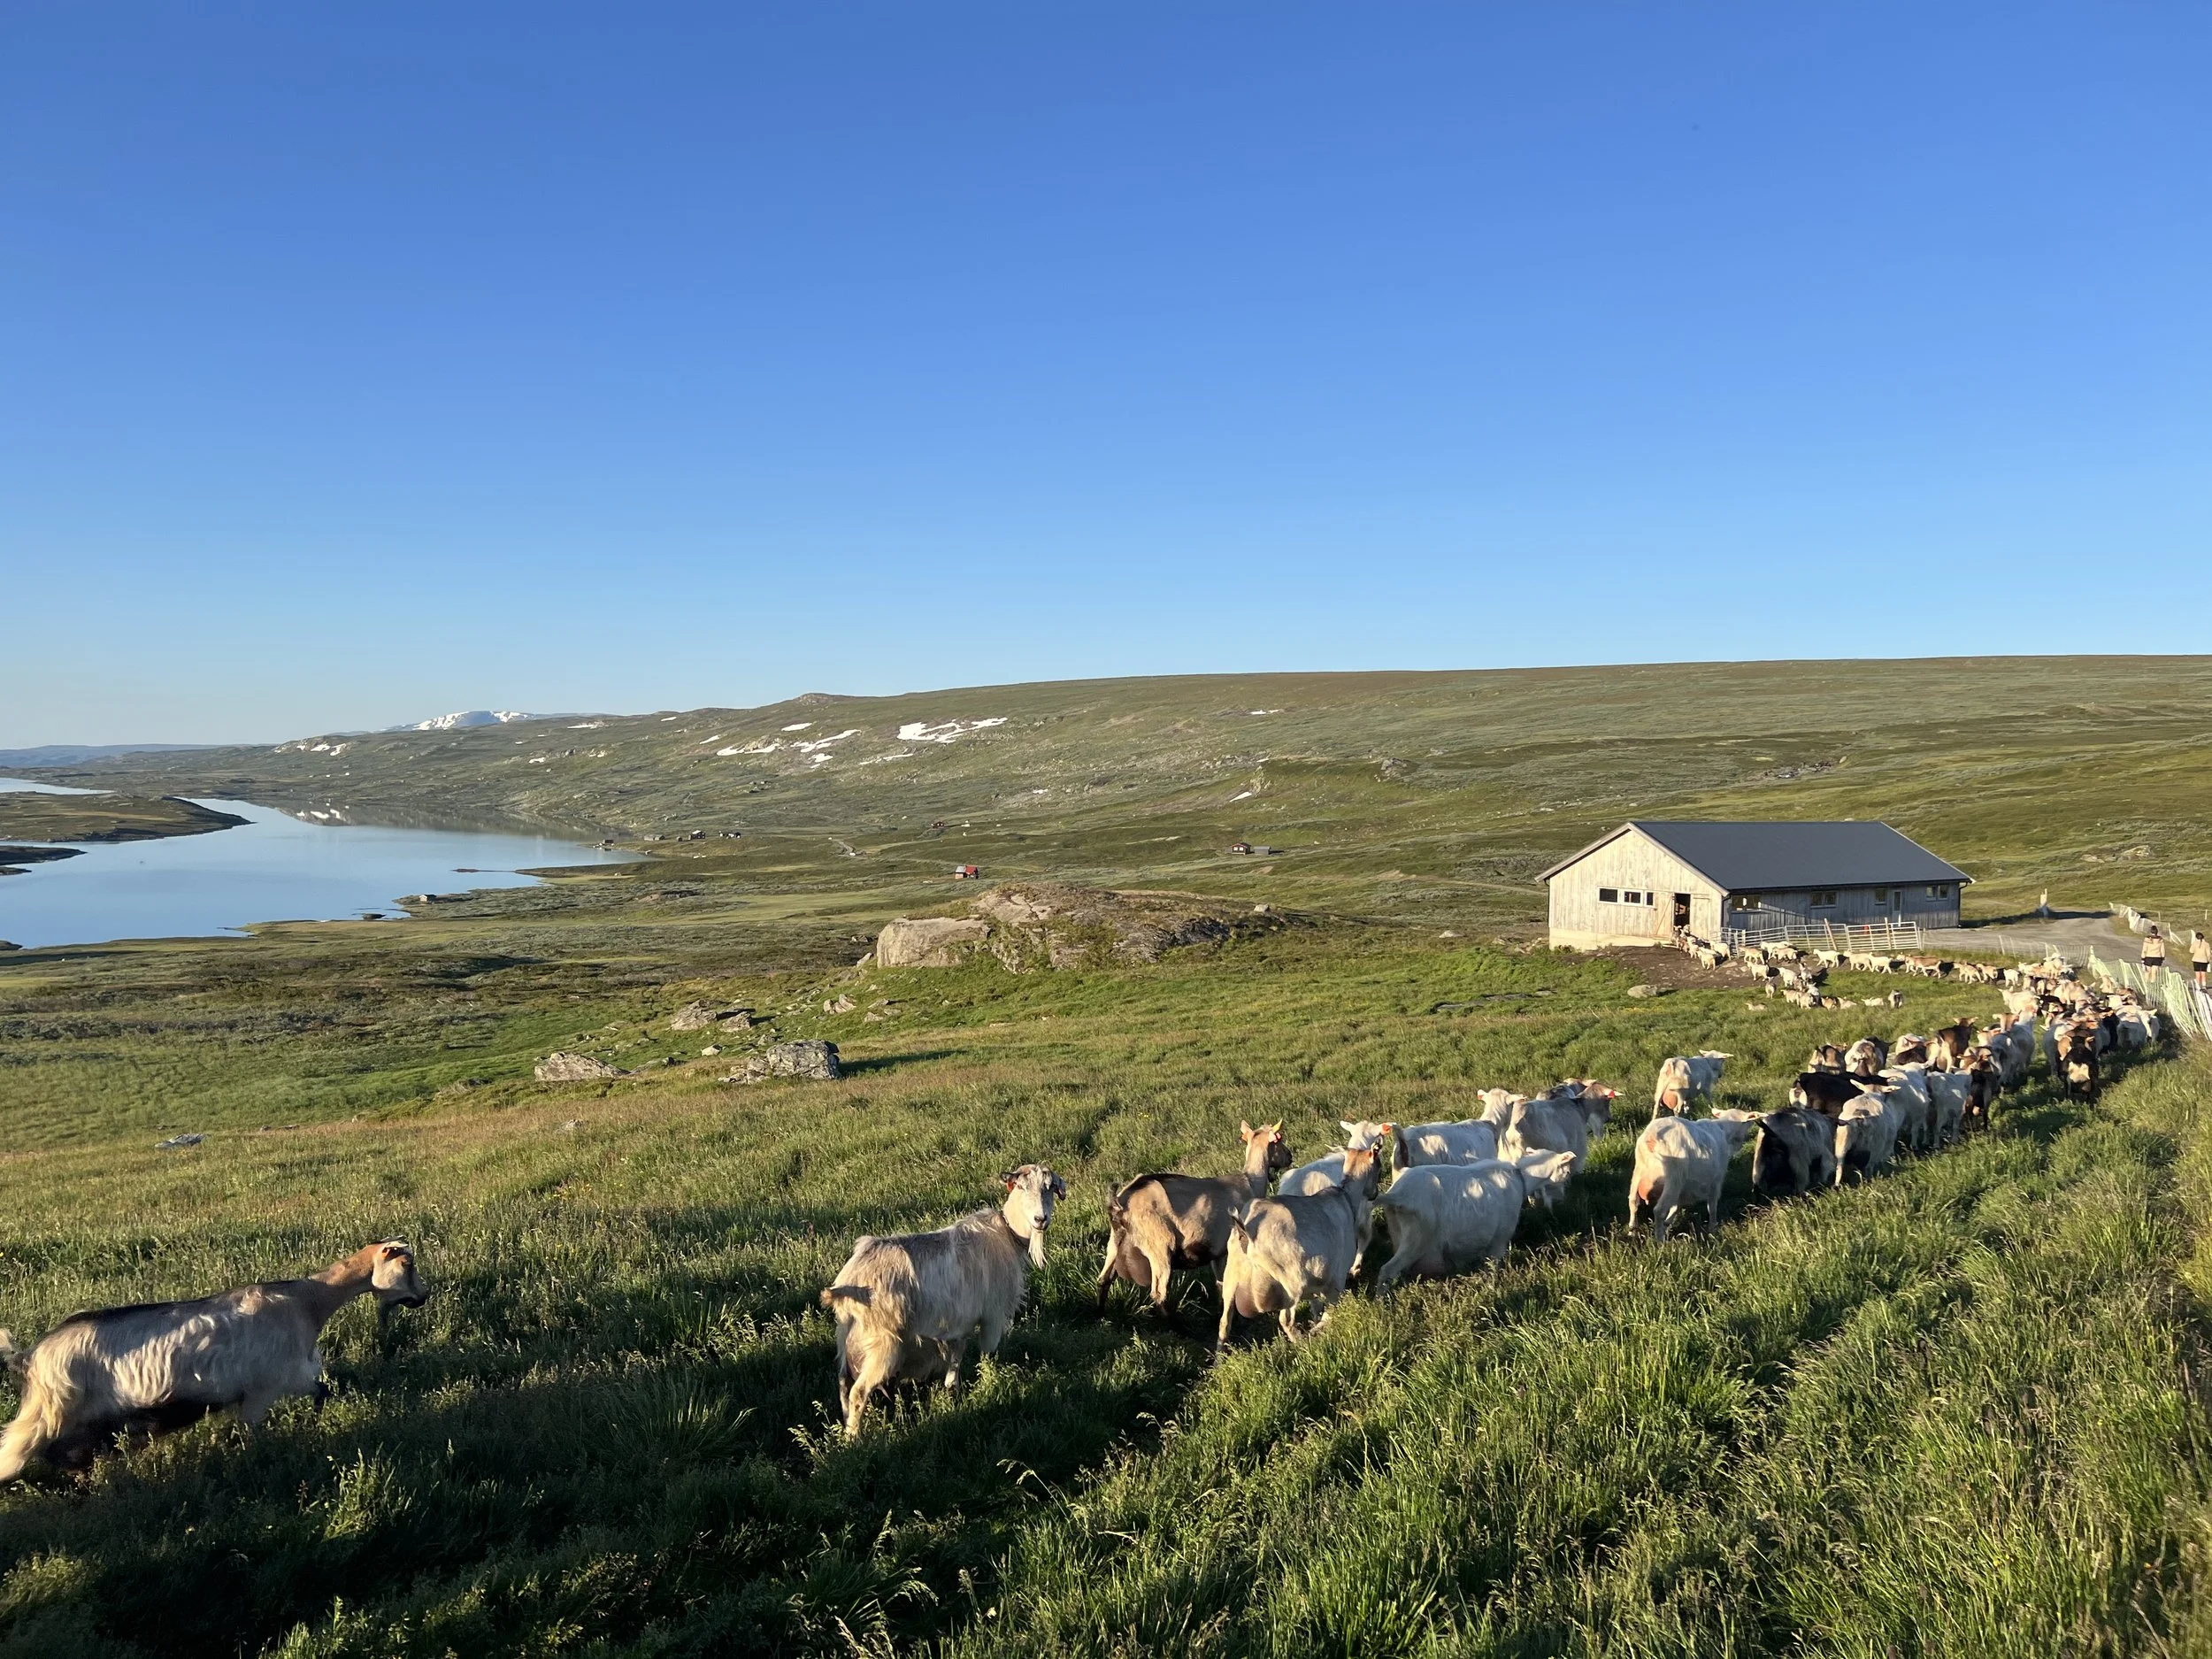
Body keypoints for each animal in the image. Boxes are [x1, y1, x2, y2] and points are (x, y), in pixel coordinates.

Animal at [0, 1241, 427, 1481]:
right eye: (406, 1265)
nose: (423, 1297)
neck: (308, 1302)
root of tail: (30, 1357)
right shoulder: (263, 1388)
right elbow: (252, 1433)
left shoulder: (293, 1378)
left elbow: (321, 1392)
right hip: (51, 1412)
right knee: (17, 1452)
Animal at [825, 1165, 1063, 1437]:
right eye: (1022, 1187)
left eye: (1049, 1188)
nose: (1040, 1219)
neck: (1008, 1234)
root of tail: (848, 1281)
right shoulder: (992, 1315)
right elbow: (988, 1354)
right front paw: (989, 1383)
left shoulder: (960, 1323)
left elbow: (956, 1357)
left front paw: (953, 1390)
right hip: (882, 1344)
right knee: (858, 1392)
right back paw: (854, 1438)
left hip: (847, 1338)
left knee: (843, 1385)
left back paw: (845, 1430)